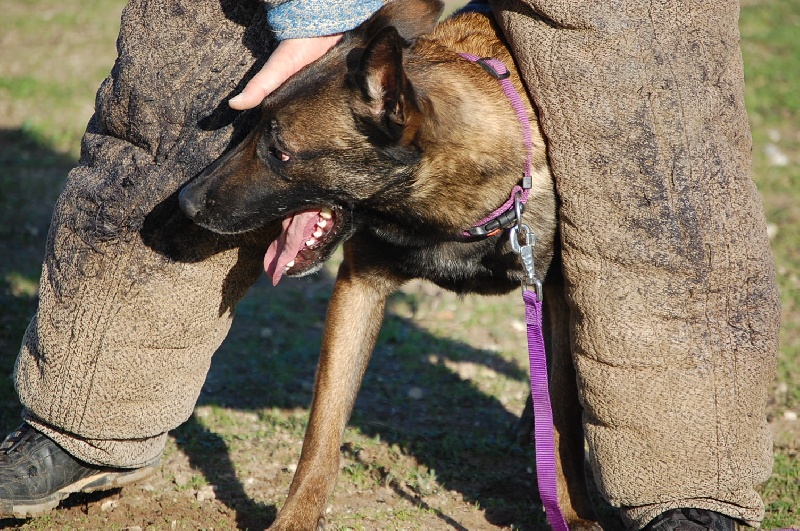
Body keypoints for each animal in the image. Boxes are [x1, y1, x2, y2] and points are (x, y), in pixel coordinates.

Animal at [178, 0, 596, 528]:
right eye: (248, 128)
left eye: (280, 152)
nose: (184, 203)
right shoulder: (359, 288)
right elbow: (322, 433)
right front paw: (294, 517)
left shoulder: (555, 293)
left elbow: (563, 413)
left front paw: (573, 510)